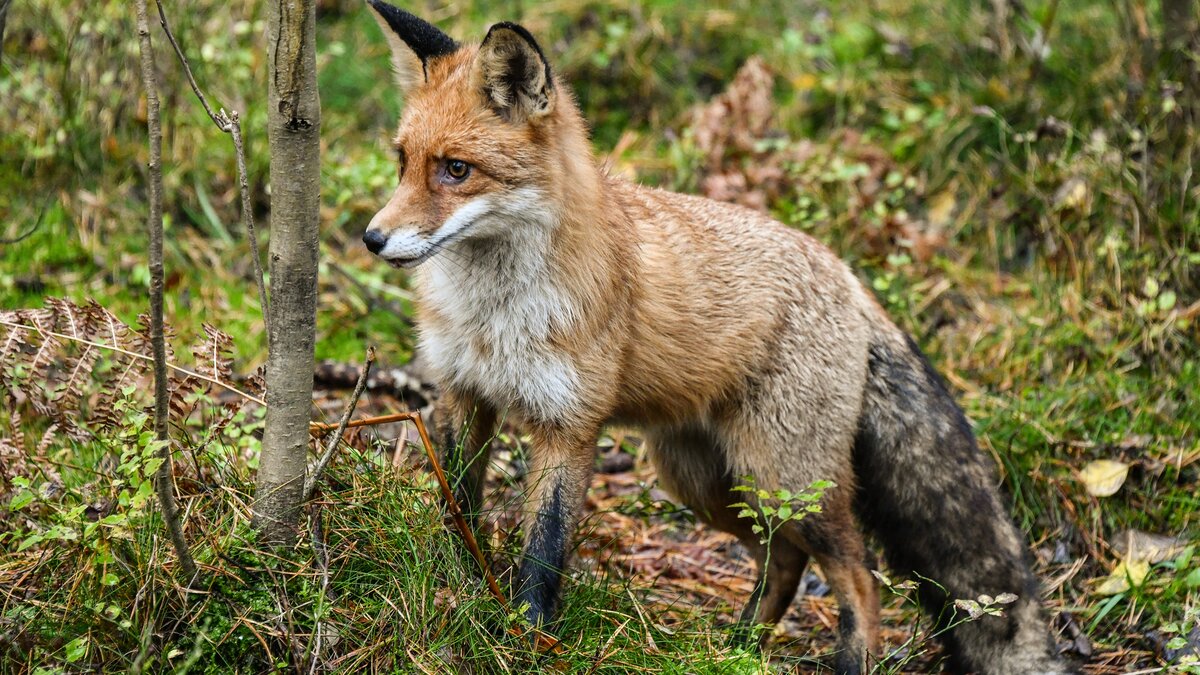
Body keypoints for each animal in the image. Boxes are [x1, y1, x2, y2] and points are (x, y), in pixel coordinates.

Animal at [357, 2, 1070, 667]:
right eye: (402, 161)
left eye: (456, 170)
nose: (372, 238)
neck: (494, 317)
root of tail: (849, 278)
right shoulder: (462, 394)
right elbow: (457, 509)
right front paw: (457, 586)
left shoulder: (569, 426)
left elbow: (544, 553)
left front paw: (526, 640)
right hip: (703, 480)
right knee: (783, 561)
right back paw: (741, 645)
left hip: (785, 478)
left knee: (859, 576)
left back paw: (843, 659)